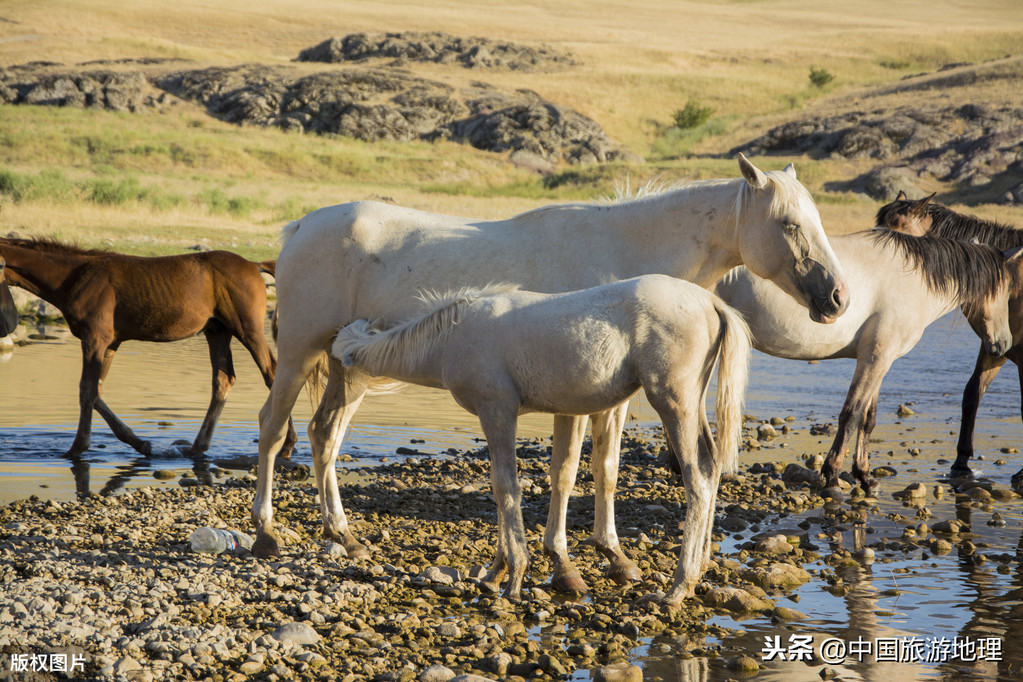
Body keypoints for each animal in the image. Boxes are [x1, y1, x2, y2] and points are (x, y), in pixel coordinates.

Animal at [0, 239, 298, 458]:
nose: (8, 321)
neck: (77, 277)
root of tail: (254, 265)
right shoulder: (110, 344)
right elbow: (97, 392)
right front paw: (141, 443)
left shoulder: (94, 338)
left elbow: (87, 391)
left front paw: (76, 449)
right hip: (217, 331)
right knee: (223, 380)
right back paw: (197, 447)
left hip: (248, 330)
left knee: (272, 374)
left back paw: (286, 444)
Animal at [333, 274, 752, 605]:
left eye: (339, 362)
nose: (334, 402)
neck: (453, 334)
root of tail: (711, 301)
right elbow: (519, 484)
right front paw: (495, 572)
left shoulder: (497, 410)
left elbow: (506, 487)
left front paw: (514, 575)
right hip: (691, 405)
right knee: (711, 467)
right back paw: (699, 570)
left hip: (673, 403)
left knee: (697, 479)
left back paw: (679, 588)